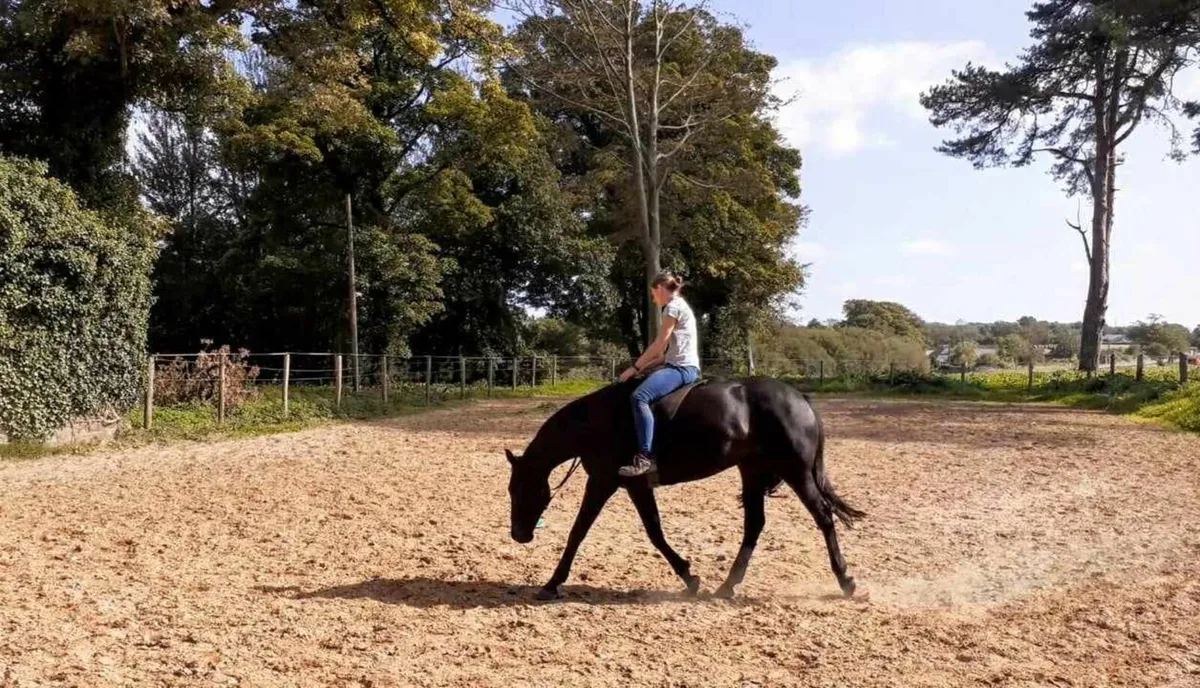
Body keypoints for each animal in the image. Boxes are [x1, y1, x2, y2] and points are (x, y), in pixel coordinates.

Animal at [504, 375, 865, 601]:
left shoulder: (603, 482)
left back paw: (846, 580)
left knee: (823, 516)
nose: (518, 534)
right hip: (752, 470)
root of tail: (799, 398)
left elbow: (578, 532)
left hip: (796, 472)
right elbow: (654, 531)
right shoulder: (634, 485)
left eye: (519, 488)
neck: (595, 423)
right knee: (754, 525)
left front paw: (551, 584)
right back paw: (726, 587)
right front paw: (690, 577)